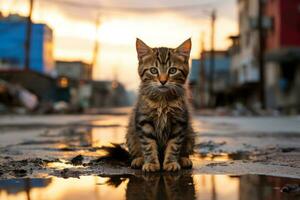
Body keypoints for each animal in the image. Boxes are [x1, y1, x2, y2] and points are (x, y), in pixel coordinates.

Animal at [125, 38, 193, 172]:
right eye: (153, 70)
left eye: (172, 70)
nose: (163, 81)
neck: (163, 101)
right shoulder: (144, 121)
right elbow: (148, 145)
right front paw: (151, 163)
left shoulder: (179, 122)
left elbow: (174, 145)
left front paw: (171, 162)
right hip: (130, 133)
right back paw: (139, 160)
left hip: (191, 133)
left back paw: (184, 159)